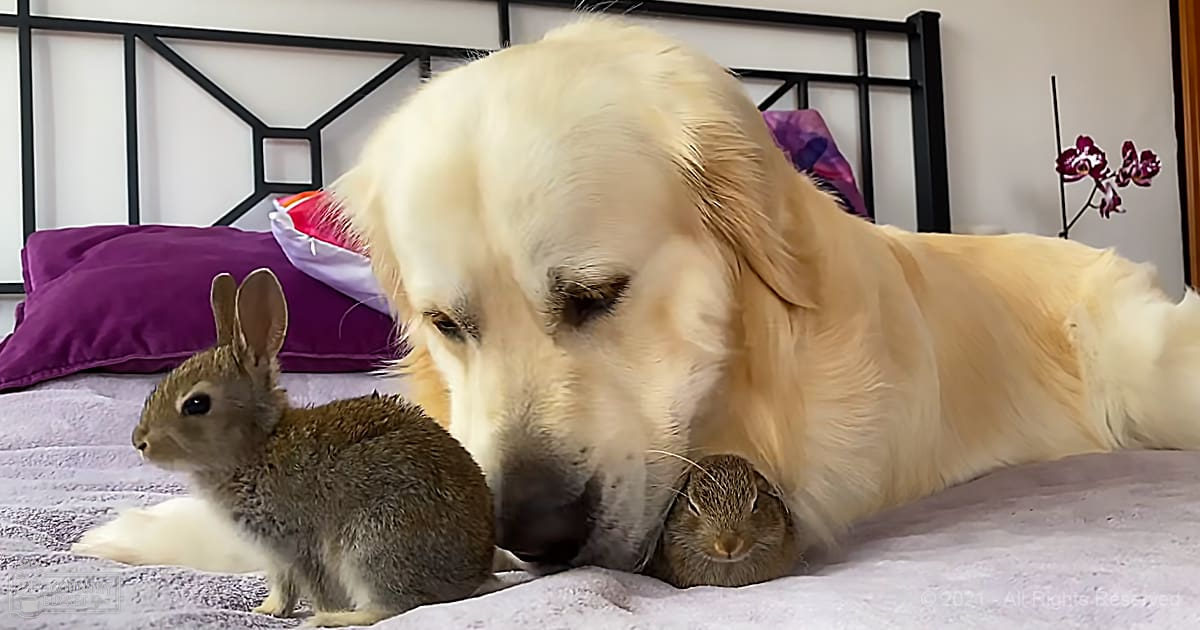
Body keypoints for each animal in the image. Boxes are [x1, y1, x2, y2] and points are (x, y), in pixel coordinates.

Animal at [132, 268, 495, 627]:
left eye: (196, 404)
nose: (140, 442)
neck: (258, 444)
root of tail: (473, 574)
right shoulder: (275, 554)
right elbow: (283, 585)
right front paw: (267, 610)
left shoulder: (297, 544)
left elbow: (311, 584)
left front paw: (305, 612)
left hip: (372, 545)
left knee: (395, 607)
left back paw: (333, 619)